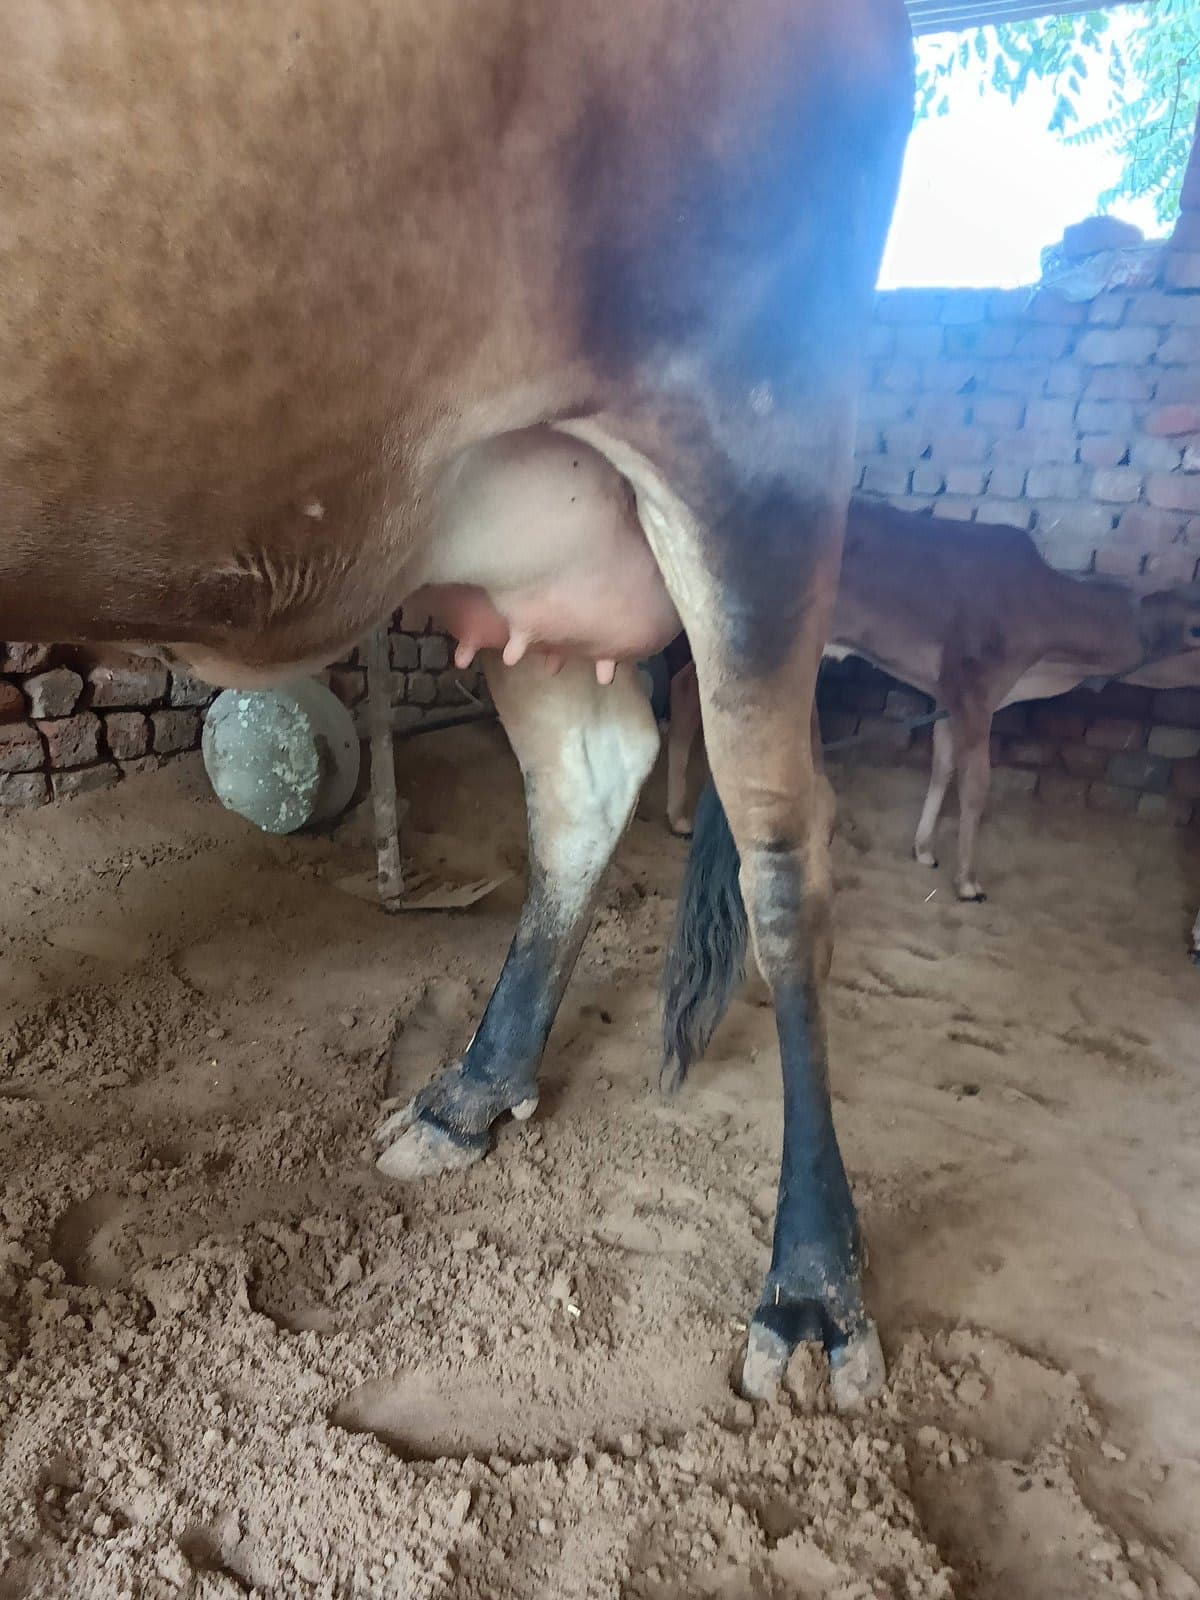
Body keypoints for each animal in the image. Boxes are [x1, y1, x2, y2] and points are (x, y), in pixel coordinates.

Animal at [0, 1, 914, 1407]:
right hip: (527, 510)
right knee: (588, 780)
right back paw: (473, 1091)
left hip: (762, 438)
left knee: (782, 858)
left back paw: (810, 1288)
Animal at [665, 499, 1200, 900]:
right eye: (1195, 628)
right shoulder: (975, 690)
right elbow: (976, 786)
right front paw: (968, 881)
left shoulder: (946, 693)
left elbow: (942, 767)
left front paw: (924, 848)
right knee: (689, 691)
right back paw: (678, 816)